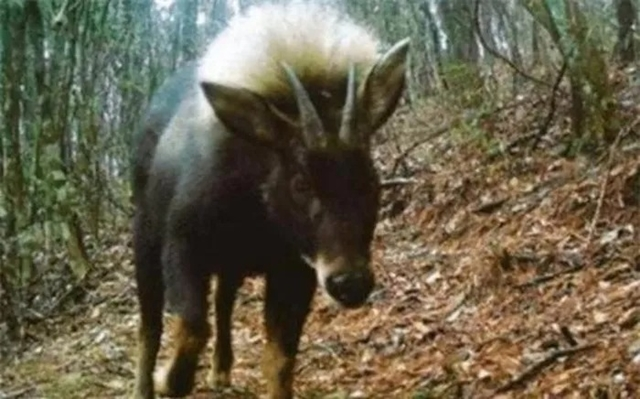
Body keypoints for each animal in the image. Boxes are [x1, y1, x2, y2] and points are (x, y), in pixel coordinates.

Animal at [131, 3, 410, 399]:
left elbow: (280, 359)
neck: (260, 215)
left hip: (229, 261)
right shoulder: (182, 242)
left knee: (223, 301)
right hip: (145, 233)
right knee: (150, 323)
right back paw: (146, 385)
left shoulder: (294, 268)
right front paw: (165, 380)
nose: (350, 283)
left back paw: (221, 371)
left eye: (370, 178)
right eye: (300, 182)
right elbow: (191, 327)